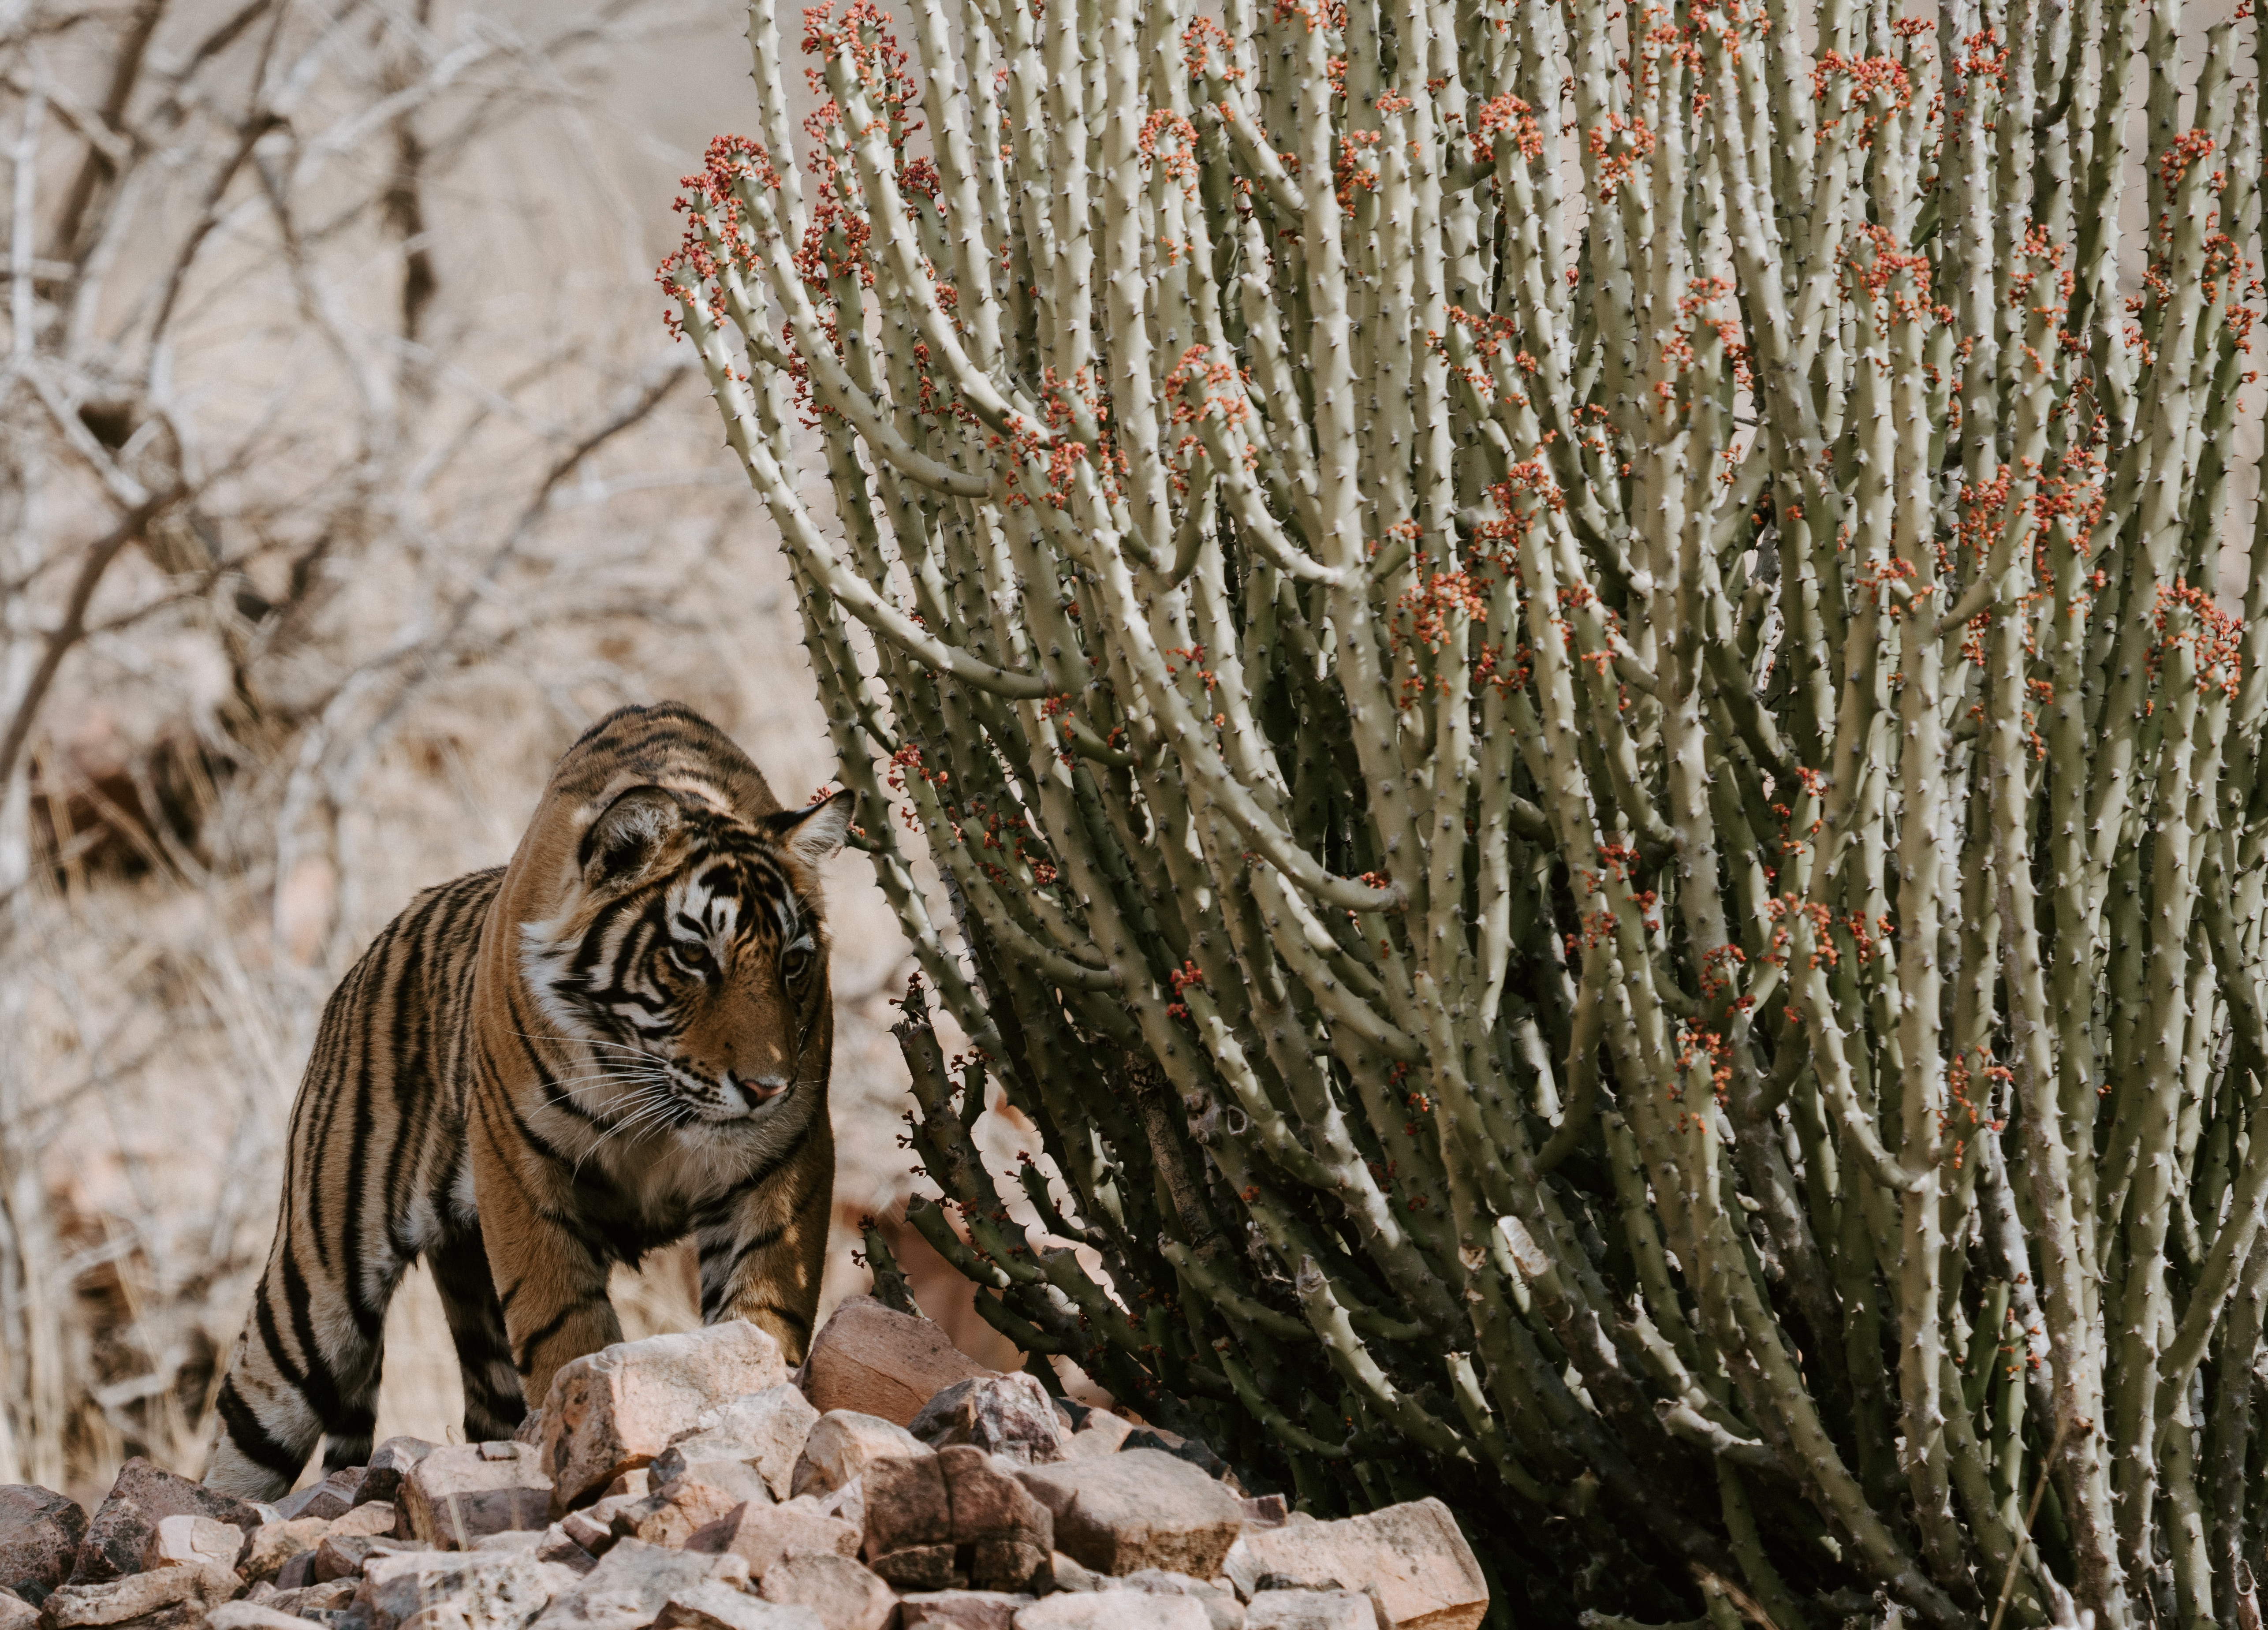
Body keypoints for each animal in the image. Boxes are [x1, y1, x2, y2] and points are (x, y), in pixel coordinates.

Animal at [204, 702, 853, 1505]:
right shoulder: (521, 1168)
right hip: (314, 1290)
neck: (649, 1086)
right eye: (694, 956)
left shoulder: (783, 1161)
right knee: (242, 1441)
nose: (766, 1088)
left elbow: (762, 1317)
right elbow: (565, 1329)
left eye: (793, 963)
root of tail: (360, 962)